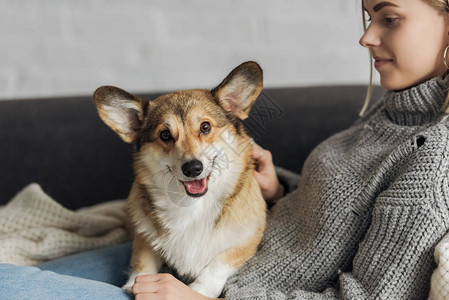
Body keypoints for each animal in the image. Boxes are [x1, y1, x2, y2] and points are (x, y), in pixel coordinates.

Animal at [92, 61, 264, 298]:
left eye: (205, 127)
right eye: (165, 134)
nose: (192, 168)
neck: (192, 205)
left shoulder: (248, 238)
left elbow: (218, 264)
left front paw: (198, 290)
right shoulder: (143, 235)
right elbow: (142, 259)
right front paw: (134, 282)